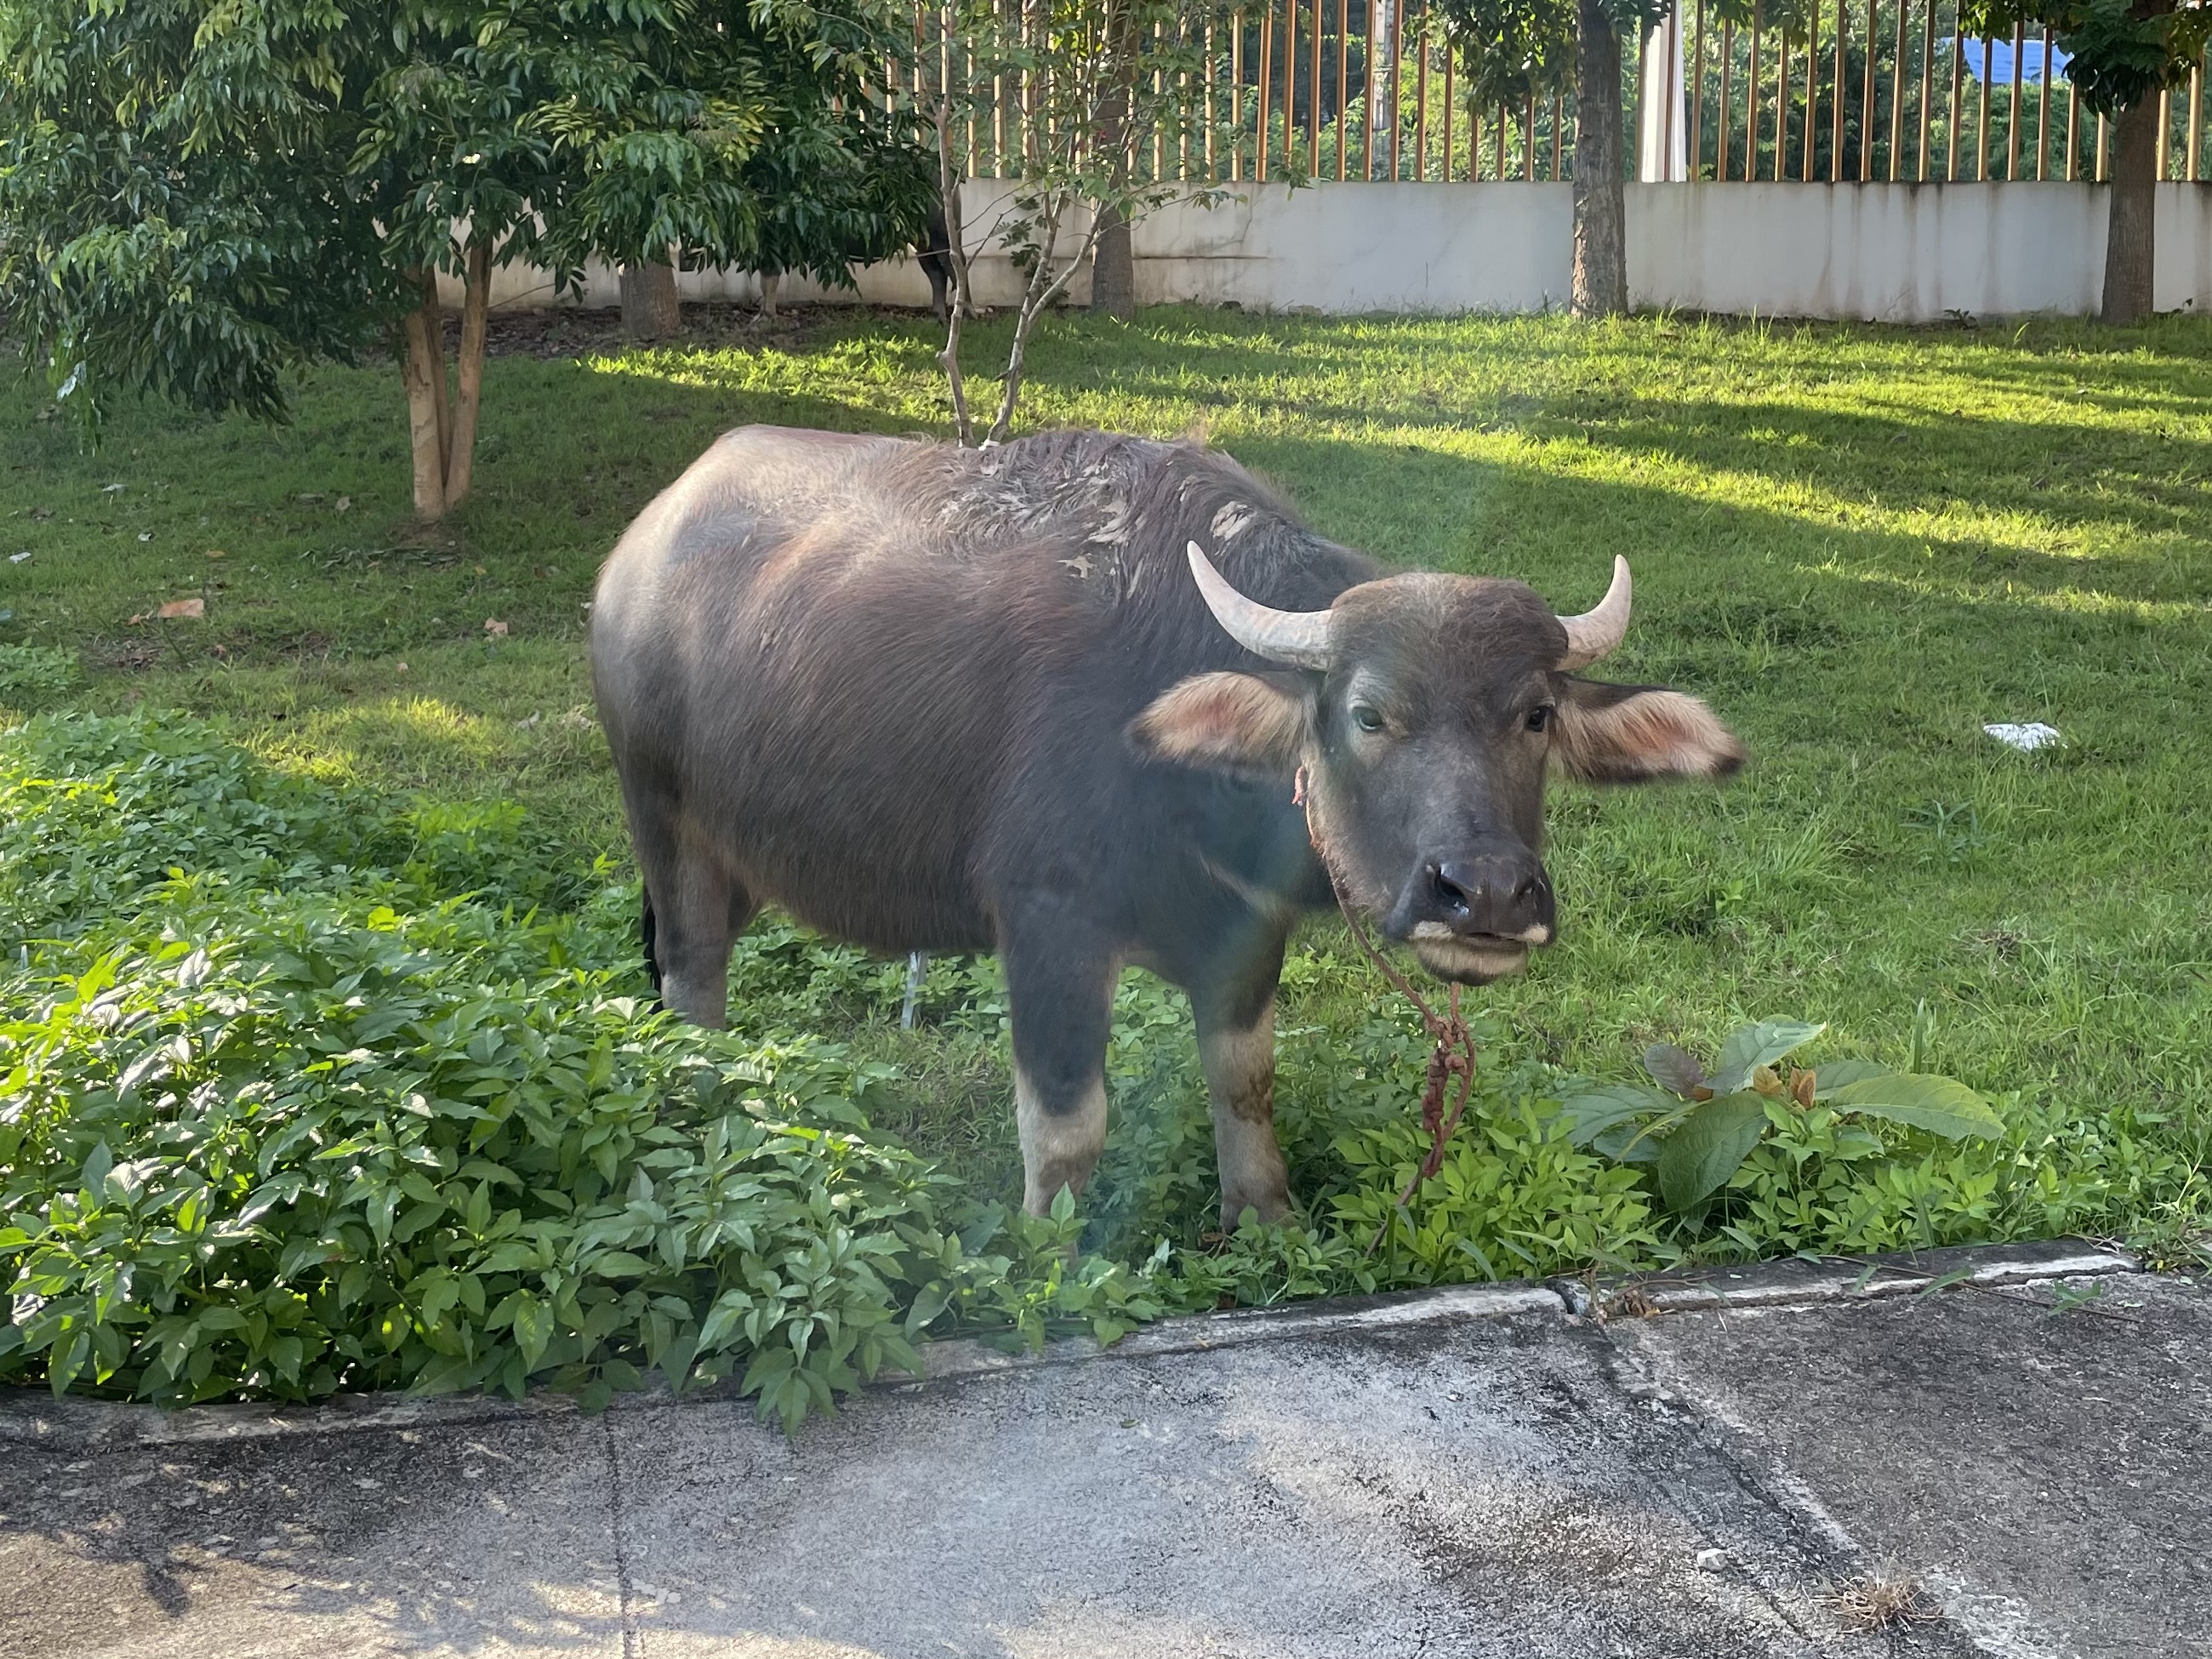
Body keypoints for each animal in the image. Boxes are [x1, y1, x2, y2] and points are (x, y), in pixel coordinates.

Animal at [590, 426, 1744, 1226]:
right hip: (662, 819)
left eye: (1536, 716)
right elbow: (1067, 1128)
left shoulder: (1243, 932)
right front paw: (1045, 1253)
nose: (1487, 892)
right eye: (1367, 713)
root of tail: (640, 547)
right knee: (692, 978)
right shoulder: (1046, 924)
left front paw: (1264, 1215)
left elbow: (1245, 1080)